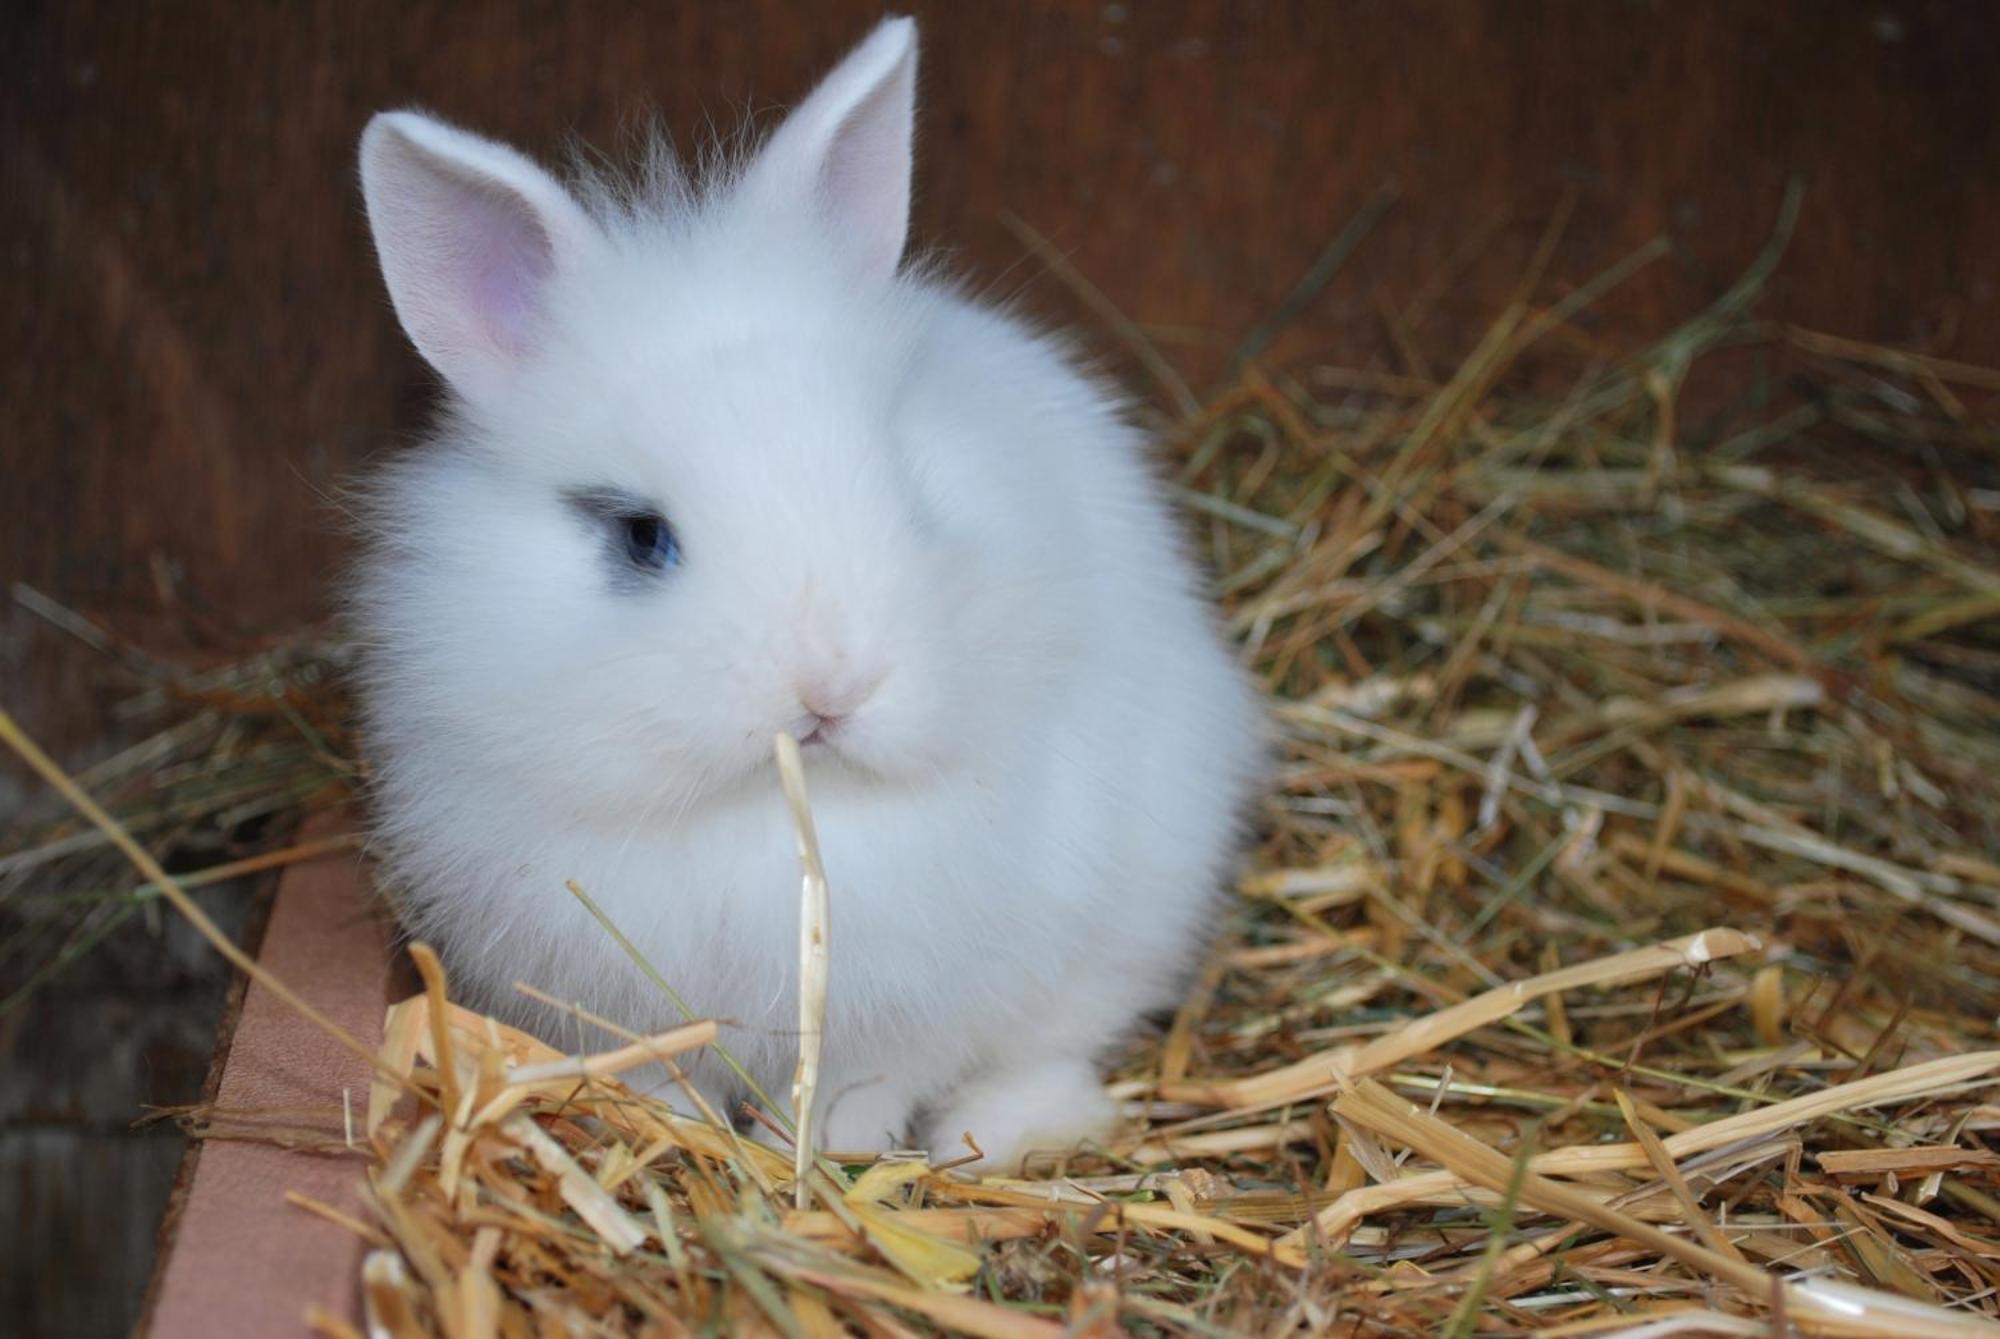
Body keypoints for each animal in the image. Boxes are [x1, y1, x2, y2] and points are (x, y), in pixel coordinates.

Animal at [356, 15, 1264, 1167]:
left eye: (905, 489)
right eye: (641, 537)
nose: (831, 686)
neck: (768, 819)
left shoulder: (914, 1003)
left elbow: (869, 1083)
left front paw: (839, 1152)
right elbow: (662, 1073)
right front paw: (674, 1130)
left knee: (1052, 1051)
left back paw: (1000, 1133)